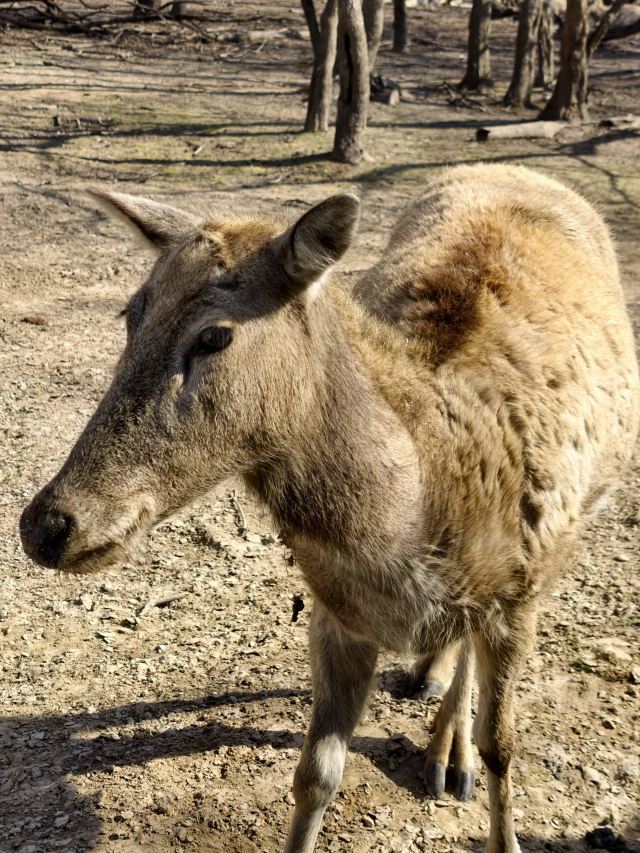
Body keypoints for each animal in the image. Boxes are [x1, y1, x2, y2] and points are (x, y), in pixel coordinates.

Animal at [20, 163, 639, 853]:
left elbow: (503, 747)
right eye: (130, 315)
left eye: (215, 334)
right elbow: (316, 774)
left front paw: (488, 798)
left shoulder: (523, 593)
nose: (46, 524)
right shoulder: (335, 609)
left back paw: (449, 757)